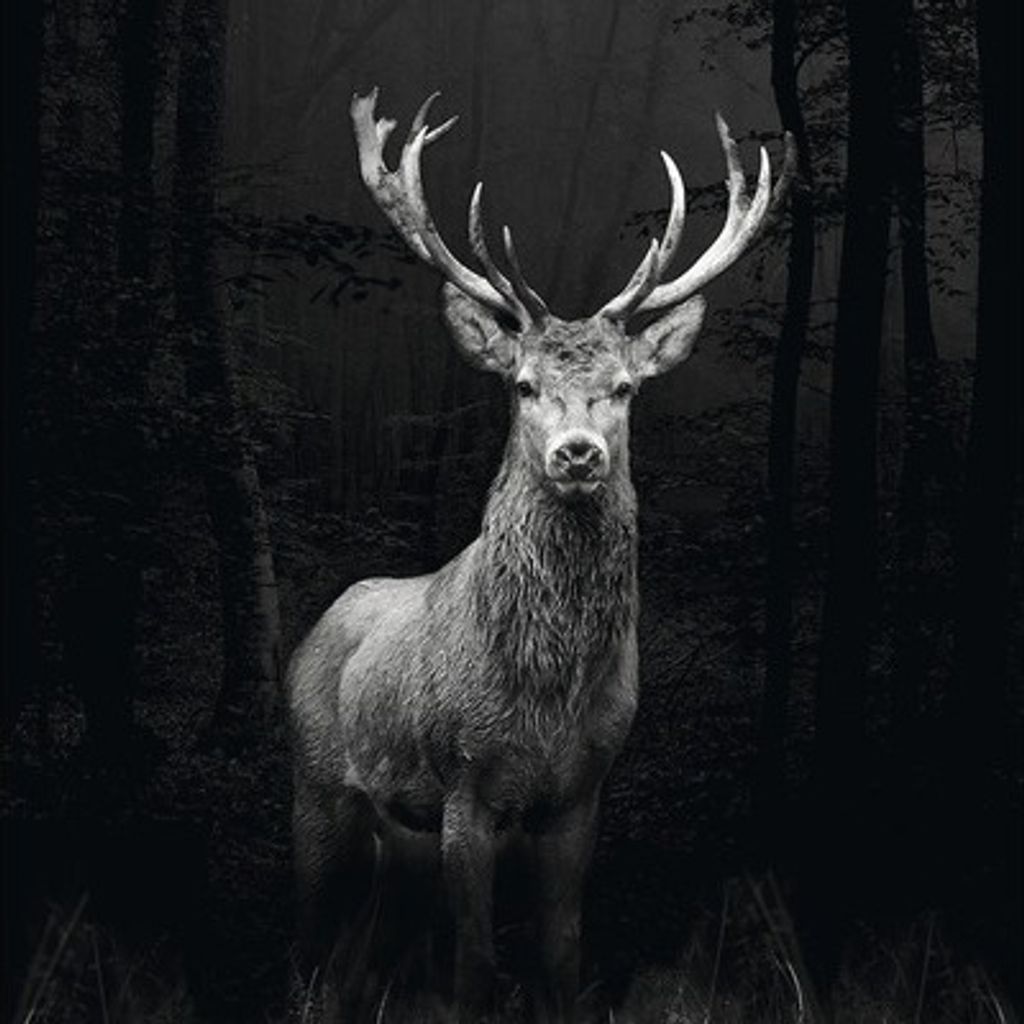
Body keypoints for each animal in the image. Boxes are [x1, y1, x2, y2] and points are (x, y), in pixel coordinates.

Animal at [287, 87, 794, 1023]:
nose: (578, 454)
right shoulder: (463, 781)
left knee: (357, 959)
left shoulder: (582, 792)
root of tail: (313, 630)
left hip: (395, 831)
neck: (545, 698)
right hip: (317, 785)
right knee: (307, 942)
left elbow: (562, 954)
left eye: (624, 388)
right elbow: (476, 964)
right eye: (523, 385)